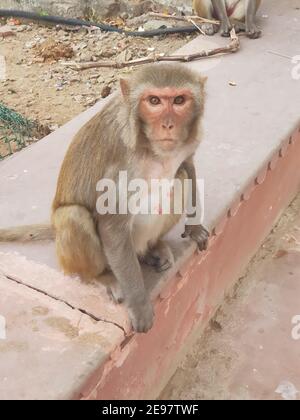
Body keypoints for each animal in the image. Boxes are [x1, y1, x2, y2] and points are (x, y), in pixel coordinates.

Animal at [0, 64, 210, 334]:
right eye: (153, 101)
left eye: (179, 100)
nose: (168, 124)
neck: (151, 149)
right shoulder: (121, 165)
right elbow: (112, 223)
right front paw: (139, 304)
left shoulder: (188, 144)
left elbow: (187, 165)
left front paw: (194, 228)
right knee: (74, 216)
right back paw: (101, 276)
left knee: (179, 178)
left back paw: (151, 248)